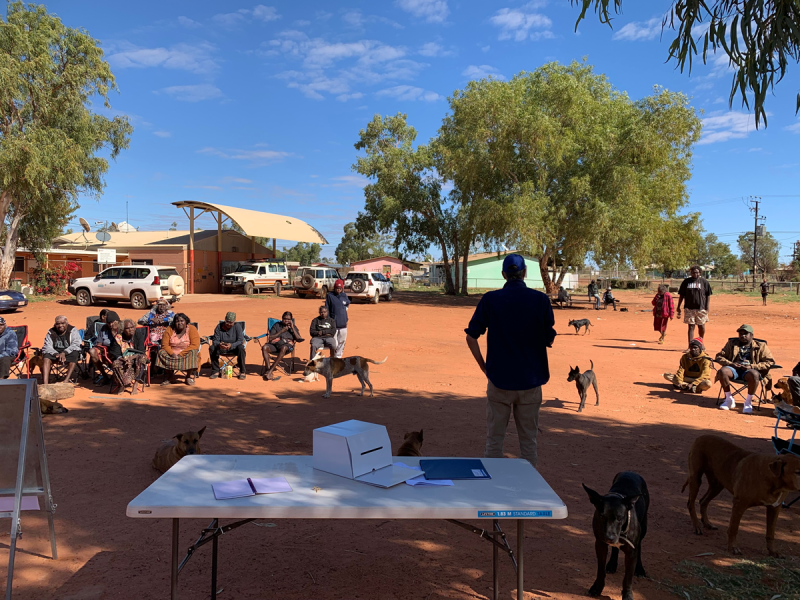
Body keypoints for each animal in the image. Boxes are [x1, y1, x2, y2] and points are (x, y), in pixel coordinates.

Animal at [580, 472, 648, 600]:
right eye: (601, 516)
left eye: (620, 518)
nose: (609, 537)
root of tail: (631, 472)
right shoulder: (600, 544)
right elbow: (600, 570)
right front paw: (597, 588)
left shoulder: (631, 552)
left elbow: (628, 579)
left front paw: (627, 596)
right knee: (615, 549)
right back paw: (612, 564)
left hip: (644, 527)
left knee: (640, 545)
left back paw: (640, 569)